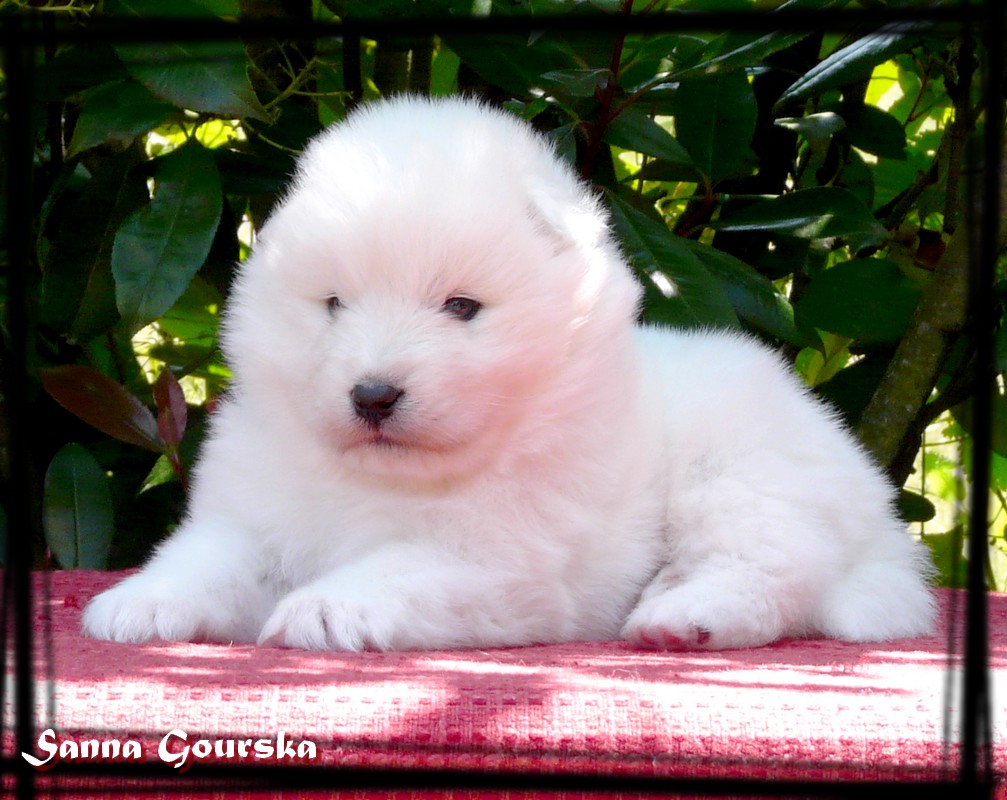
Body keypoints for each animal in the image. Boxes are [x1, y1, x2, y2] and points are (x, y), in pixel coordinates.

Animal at [84, 96, 934, 652]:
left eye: (461, 307)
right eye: (333, 304)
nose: (372, 394)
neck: (392, 479)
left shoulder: (501, 560)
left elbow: (398, 568)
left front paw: (324, 610)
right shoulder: (253, 515)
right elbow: (205, 557)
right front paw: (137, 604)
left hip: (739, 470)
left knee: (775, 568)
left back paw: (682, 615)